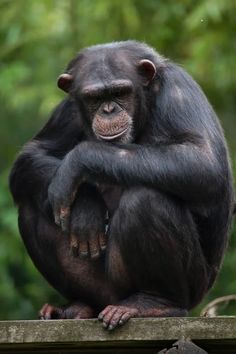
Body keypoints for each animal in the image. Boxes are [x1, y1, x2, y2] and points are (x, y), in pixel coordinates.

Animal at [9, 40, 234, 330]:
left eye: (120, 92)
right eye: (94, 98)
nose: (108, 110)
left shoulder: (180, 91)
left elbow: (204, 163)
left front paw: (76, 163)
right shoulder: (69, 107)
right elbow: (32, 154)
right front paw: (87, 205)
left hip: (190, 287)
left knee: (147, 200)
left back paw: (154, 303)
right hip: (101, 289)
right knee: (30, 206)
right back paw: (76, 306)